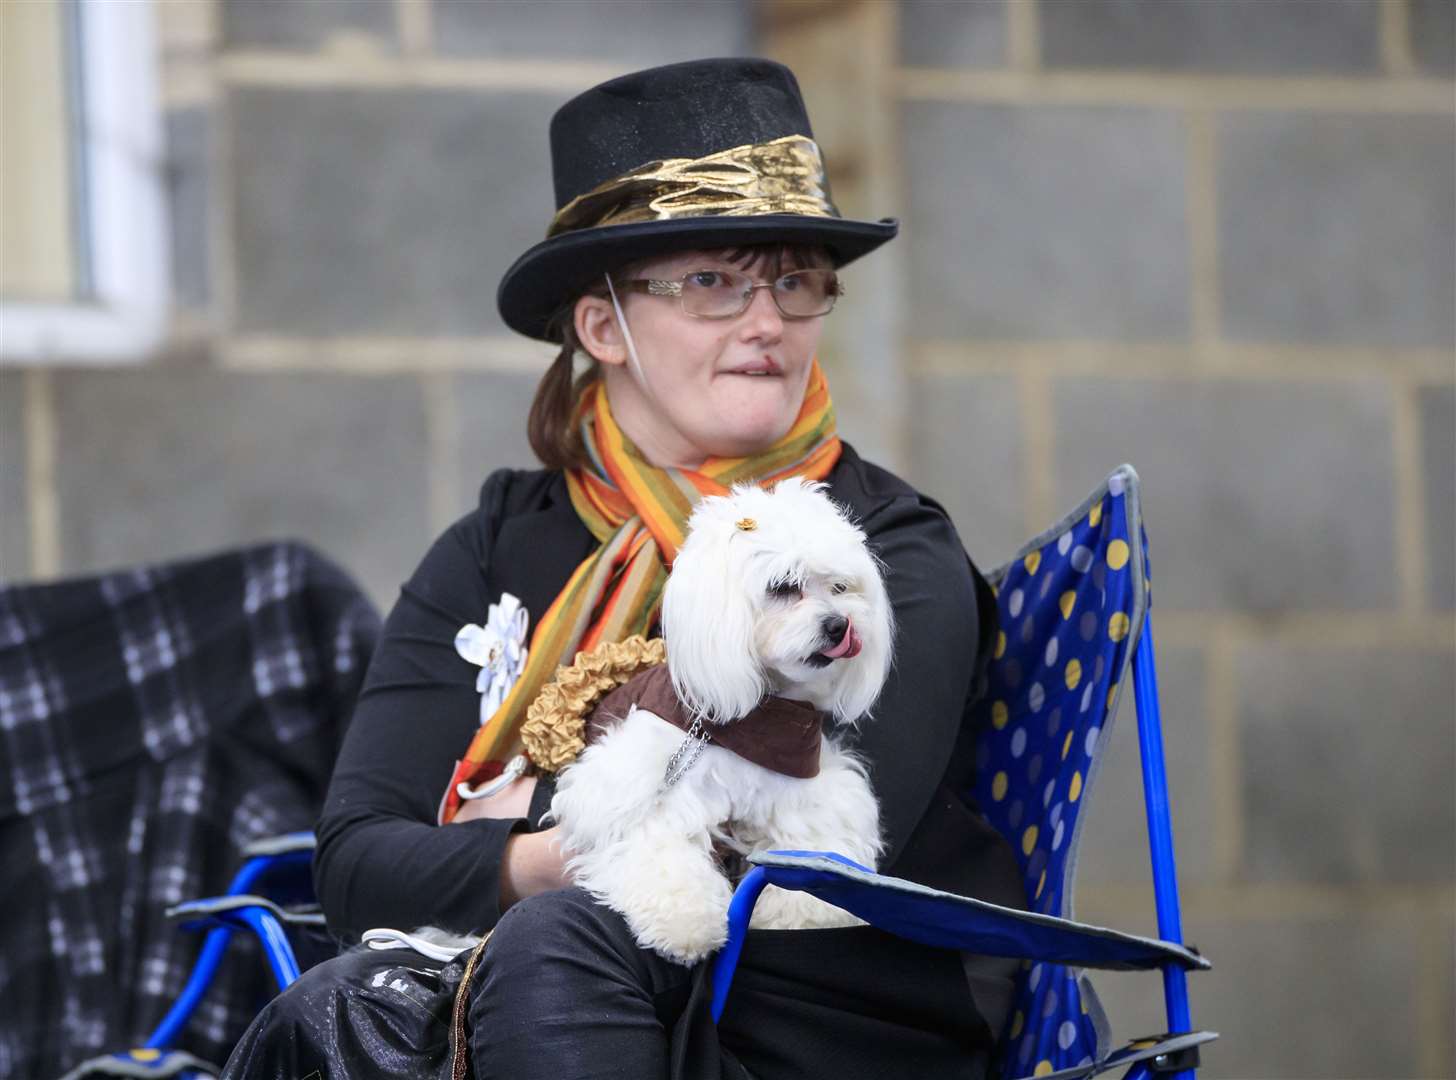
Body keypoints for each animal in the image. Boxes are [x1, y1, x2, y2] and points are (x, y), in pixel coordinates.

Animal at [547, 477, 891, 966]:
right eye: (783, 586)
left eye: (840, 587)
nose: (839, 626)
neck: (760, 720)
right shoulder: (642, 789)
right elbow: (656, 846)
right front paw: (684, 923)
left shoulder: (811, 790)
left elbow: (815, 845)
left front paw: (806, 914)